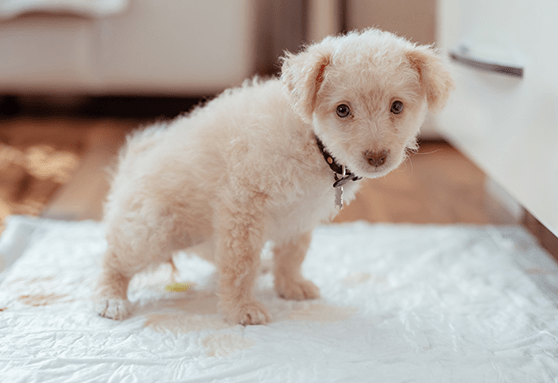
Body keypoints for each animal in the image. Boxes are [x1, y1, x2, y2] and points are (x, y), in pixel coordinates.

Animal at [95, 28, 456, 326]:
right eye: (342, 110)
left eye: (397, 107)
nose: (377, 158)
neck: (313, 143)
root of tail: (130, 167)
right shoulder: (243, 205)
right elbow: (241, 263)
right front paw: (242, 309)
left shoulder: (299, 214)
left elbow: (292, 254)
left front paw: (290, 285)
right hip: (152, 230)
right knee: (113, 259)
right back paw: (110, 299)